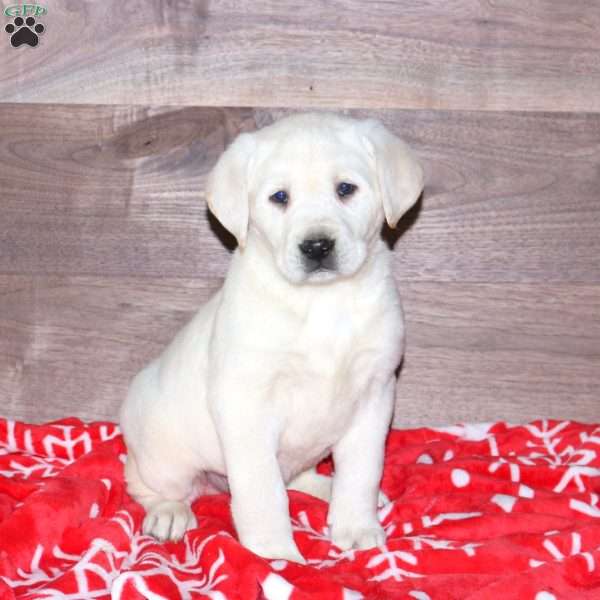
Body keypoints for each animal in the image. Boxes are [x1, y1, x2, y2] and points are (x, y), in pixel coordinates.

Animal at [119, 111, 424, 564]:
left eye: (346, 189)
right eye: (279, 197)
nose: (317, 246)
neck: (322, 302)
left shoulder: (374, 395)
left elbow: (361, 472)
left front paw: (356, 526)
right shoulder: (247, 404)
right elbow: (262, 491)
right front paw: (274, 554)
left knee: (298, 475)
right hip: (166, 456)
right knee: (142, 481)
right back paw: (168, 513)